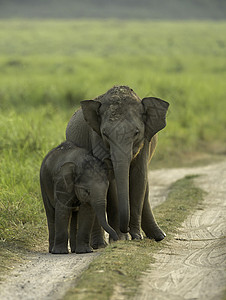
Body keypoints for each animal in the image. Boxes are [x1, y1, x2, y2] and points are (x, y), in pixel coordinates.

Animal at [65, 84, 168, 244]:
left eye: (136, 133)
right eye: (105, 134)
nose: (126, 230)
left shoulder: (145, 142)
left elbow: (139, 177)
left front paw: (136, 237)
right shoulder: (97, 139)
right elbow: (111, 184)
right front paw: (121, 239)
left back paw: (159, 236)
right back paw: (99, 245)